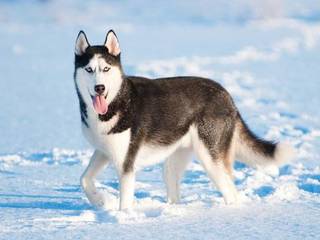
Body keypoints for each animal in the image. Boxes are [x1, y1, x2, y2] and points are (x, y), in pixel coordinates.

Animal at [74, 30, 294, 210]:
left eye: (106, 69)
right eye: (89, 69)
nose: (99, 88)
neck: (116, 101)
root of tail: (226, 94)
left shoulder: (126, 164)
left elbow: (124, 204)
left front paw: (120, 218)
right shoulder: (103, 152)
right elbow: (84, 179)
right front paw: (99, 201)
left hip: (210, 159)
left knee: (231, 193)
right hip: (173, 162)